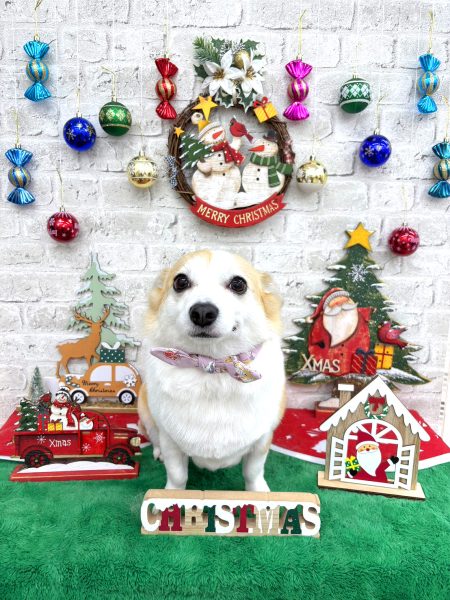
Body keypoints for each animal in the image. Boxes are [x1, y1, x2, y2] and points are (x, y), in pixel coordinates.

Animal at [138, 250, 286, 491]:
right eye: (180, 282)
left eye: (238, 284)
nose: (202, 311)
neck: (214, 365)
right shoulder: (171, 441)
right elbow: (177, 474)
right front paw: (171, 495)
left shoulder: (262, 438)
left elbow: (253, 471)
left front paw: (259, 492)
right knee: (154, 437)